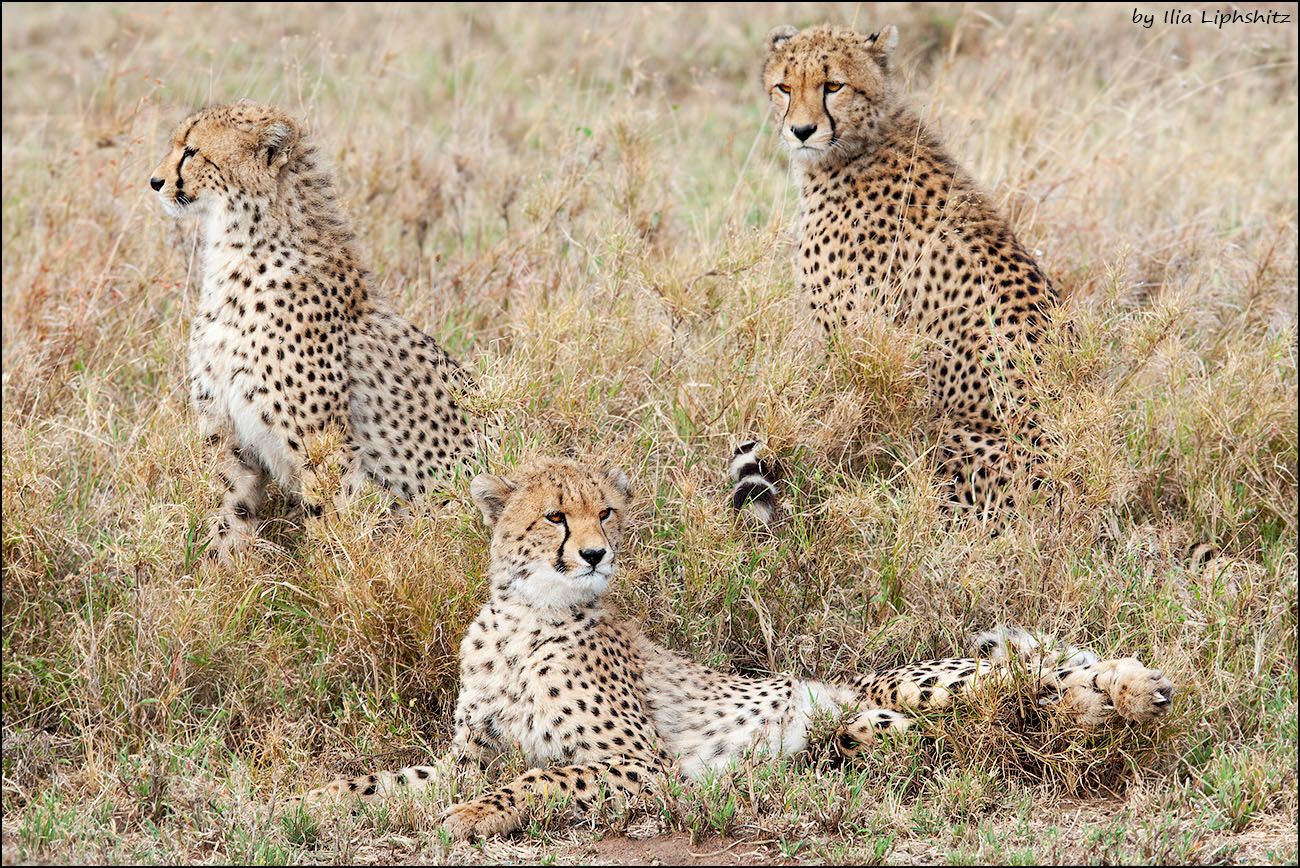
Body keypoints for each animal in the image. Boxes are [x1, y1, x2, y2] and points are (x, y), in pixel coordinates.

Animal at [150, 98, 478, 558]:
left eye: (192, 151)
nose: (155, 181)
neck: (241, 248)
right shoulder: (230, 432)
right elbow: (230, 511)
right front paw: (219, 570)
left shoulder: (320, 442)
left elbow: (331, 517)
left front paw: (338, 573)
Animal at [292, 457, 1180, 836]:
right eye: (553, 516)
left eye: (605, 513)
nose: (595, 554)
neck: (526, 620)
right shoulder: (466, 754)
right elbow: (385, 780)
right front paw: (307, 802)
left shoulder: (638, 764)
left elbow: (538, 780)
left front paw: (476, 815)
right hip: (879, 729)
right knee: (1006, 712)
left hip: (916, 684)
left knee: (1025, 677)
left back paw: (1133, 688)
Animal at [743, 23, 1066, 524]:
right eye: (785, 87)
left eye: (832, 86)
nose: (801, 131)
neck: (861, 143)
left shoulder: (855, 341)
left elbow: (842, 421)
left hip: (957, 436)